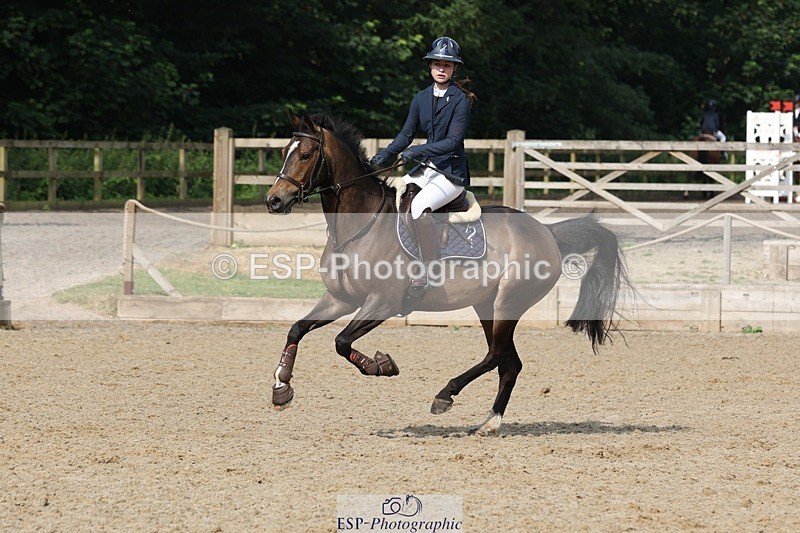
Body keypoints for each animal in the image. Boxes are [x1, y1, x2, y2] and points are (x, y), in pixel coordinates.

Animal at [265, 111, 631, 435]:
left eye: (306, 154)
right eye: (283, 153)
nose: (274, 201)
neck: (358, 228)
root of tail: (547, 232)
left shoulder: (382, 303)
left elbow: (341, 342)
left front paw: (382, 365)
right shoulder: (340, 299)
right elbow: (297, 329)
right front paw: (281, 388)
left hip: (508, 303)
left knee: (496, 355)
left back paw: (446, 395)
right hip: (486, 306)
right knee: (509, 362)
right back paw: (488, 423)